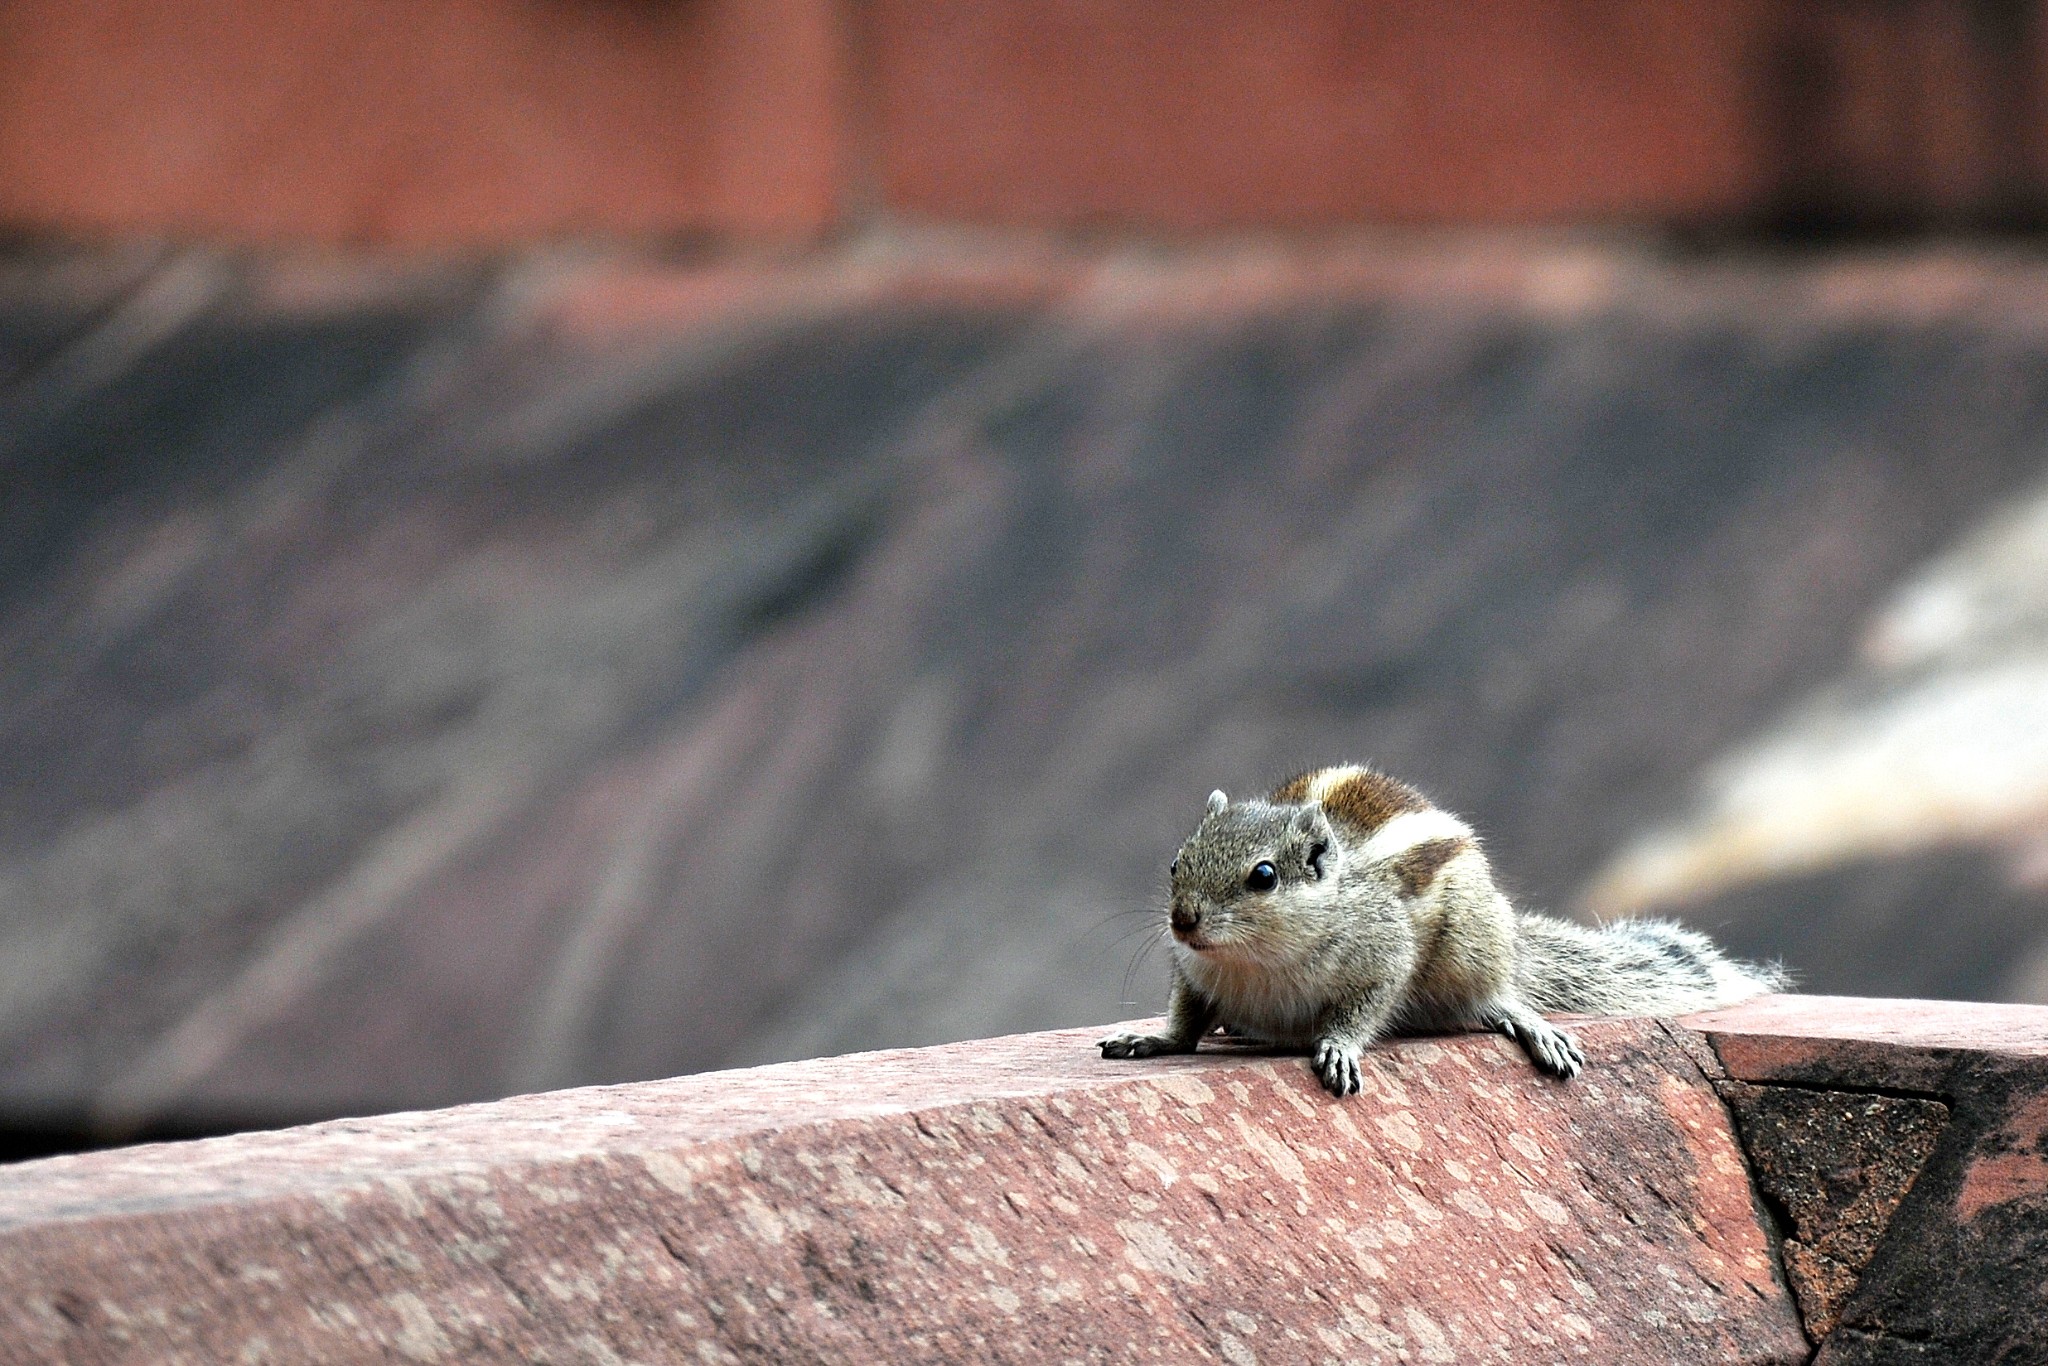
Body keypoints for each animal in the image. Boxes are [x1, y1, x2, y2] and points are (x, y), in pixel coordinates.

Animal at [1097, 770, 1785, 1097]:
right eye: (1177, 863)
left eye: (1262, 876)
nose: (1182, 920)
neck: (1256, 959)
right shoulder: (1194, 972)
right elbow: (1186, 1019)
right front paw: (1153, 1040)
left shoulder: (1383, 955)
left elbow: (1365, 1006)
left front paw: (1338, 1047)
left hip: (1468, 948)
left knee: (1491, 996)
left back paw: (1521, 1018)